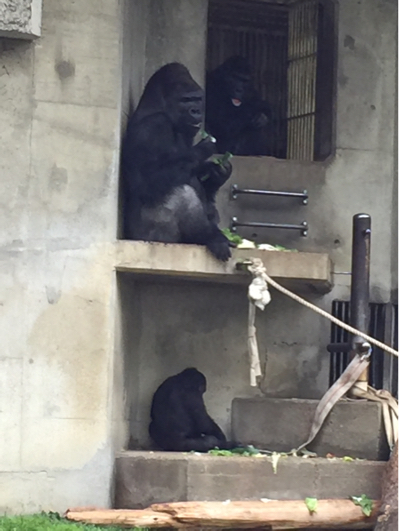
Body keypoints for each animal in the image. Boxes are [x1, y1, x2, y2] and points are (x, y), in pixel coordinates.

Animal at [122, 62, 234, 262]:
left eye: (197, 99)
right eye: (185, 100)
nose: (196, 110)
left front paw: (217, 174)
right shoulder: (152, 127)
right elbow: (146, 183)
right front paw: (204, 148)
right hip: (152, 238)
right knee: (181, 192)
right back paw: (209, 236)